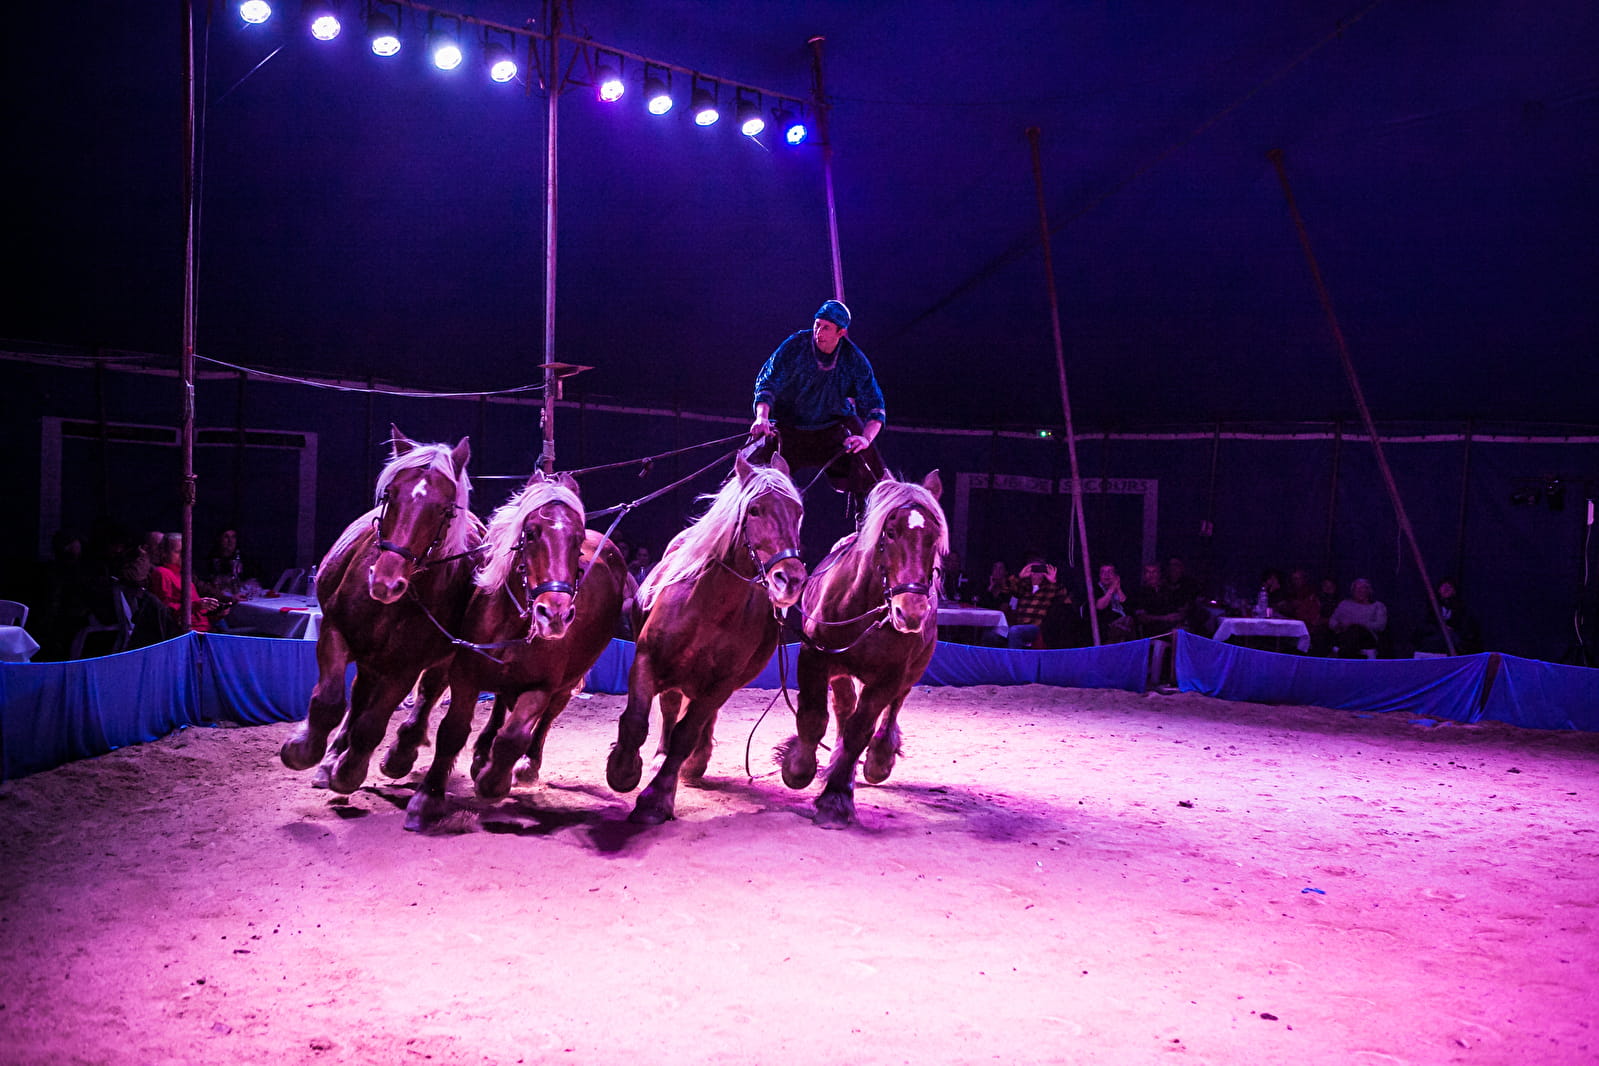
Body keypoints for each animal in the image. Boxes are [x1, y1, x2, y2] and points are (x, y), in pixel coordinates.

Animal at [279, 425, 481, 795]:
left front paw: (350, 770)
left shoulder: (405, 666)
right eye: (390, 494)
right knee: (358, 695)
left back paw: (399, 752)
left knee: (427, 694)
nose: (386, 582)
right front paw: (304, 751)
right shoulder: (334, 632)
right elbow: (330, 701)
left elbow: (373, 723)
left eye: (443, 509)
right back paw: (330, 758)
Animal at [401, 471, 629, 832]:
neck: (514, 621)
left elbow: (514, 737)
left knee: (546, 720)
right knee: (496, 706)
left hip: (568, 681)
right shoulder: (466, 676)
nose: (555, 614)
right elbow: (452, 731)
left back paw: (524, 764)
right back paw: (482, 750)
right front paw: (428, 796)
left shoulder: (542, 687)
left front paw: (493, 781)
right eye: (531, 533)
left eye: (578, 540)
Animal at [606, 452, 807, 824]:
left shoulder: (721, 683)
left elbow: (688, 733)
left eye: (797, 511)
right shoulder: (646, 659)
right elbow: (637, 721)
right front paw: (624, 769)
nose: (790, 580)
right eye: (754, 509)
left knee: (701, 721)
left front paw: (657, 797)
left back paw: (695, 762)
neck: (710, 607)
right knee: (670, 708)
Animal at [777, 471, 947, 828]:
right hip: (840, 672)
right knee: (843, 707)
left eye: (934, 537)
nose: (911, 612)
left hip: (909, 674)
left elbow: (861, 730)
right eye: (890, 533)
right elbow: (813, 717)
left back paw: (876, 759)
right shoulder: (815, 658)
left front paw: (836, 798)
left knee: (890, 711)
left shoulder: (889, 678)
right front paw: (798, 767)